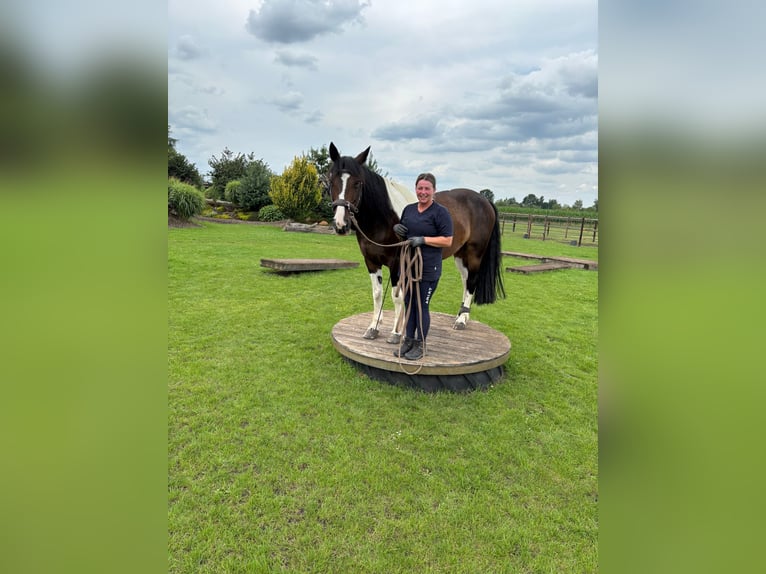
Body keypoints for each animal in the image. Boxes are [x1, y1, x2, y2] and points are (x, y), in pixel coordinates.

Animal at [328, 142, 505, 343]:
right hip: (460, 255)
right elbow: (377, 294)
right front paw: (373, 327)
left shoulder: (397, 263)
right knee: (466, 279)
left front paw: (396, 333)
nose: (341, 224)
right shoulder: (371, 262)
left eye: (358, 183)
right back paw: (461, 315)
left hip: (474, 254)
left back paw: (461, 321)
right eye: (331, 180)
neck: (383, 218)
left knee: (472, 281)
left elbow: (397, 296)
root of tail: (485, 201)